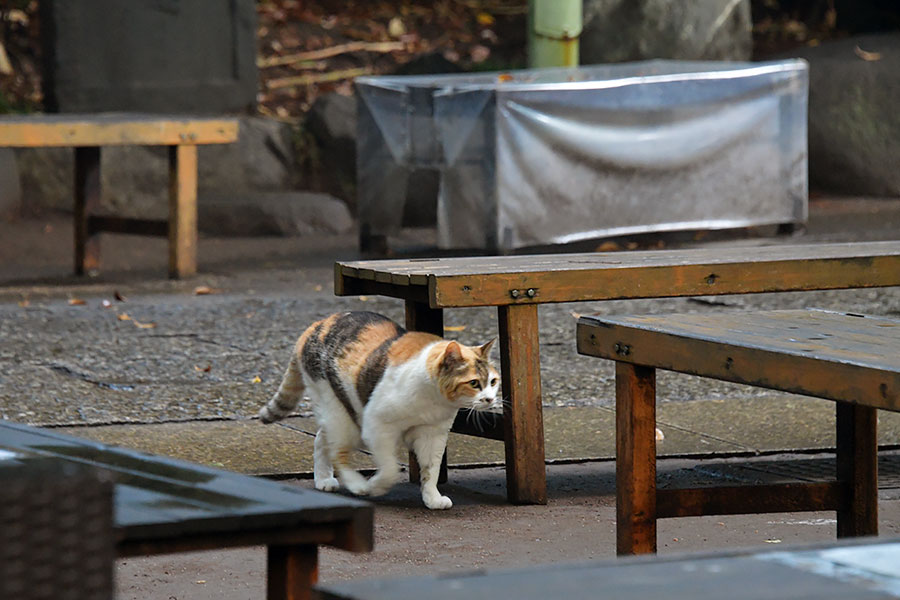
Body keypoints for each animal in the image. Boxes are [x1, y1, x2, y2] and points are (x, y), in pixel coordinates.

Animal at [256, 312, 502, 508]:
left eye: (493, 381)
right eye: (474, 383)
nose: (490, 399)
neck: (432, 400)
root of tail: (317, 324)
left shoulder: (433, 435)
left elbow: (430, 470)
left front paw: (432, 498)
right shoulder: (378, 427)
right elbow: (391, 468)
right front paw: (374, 485)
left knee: (320, 440)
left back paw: (324, 480)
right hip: (340, 414)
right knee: (337, 451)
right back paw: (356, 485)